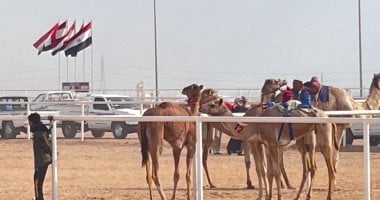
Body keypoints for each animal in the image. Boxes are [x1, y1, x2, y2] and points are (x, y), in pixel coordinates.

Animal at [200, 96, 336, 199]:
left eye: (212, 105)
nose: (201, 107)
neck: (253, 126)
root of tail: (328, 118)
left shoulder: (269, 143)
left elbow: (273, 171)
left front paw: (275, 196)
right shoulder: (265, 143)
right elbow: (267, 171)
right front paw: (267, 196)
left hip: (323, 139)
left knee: (329, 169)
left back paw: (327, 196)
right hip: (304, 144)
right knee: (309, 168)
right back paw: (300, 196)